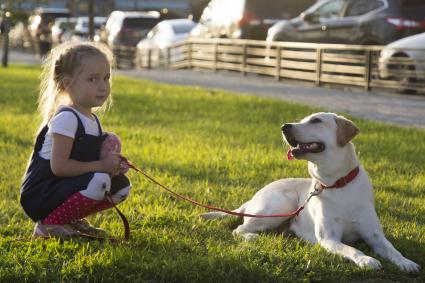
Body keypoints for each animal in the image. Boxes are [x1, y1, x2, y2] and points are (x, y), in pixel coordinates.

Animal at [200, 112, 420, 272]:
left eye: (316, 120)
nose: (284, 126)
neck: (337, 184)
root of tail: (253, 197)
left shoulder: (374, 234)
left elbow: (392, 249)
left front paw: (406, 262)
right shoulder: (329, 238)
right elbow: (352, 248)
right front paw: (367, 259)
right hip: (281, 204)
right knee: (239, 229)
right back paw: (252, 237)